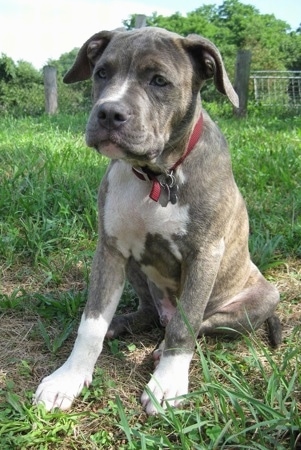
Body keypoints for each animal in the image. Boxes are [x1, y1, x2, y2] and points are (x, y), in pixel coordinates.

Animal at [34, 27, 280, 414]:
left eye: (159, 81)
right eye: (101, 73)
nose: (109, 112)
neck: (157, 175)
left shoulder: (204, 255)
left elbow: (186, 324)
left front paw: (166, 384)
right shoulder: (110, 249)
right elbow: (91, 323)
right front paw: (68, 378)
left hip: (265, 297)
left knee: (196, 323)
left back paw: (161, 348)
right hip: (137, 267)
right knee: (150, 311)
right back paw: (121, 323)